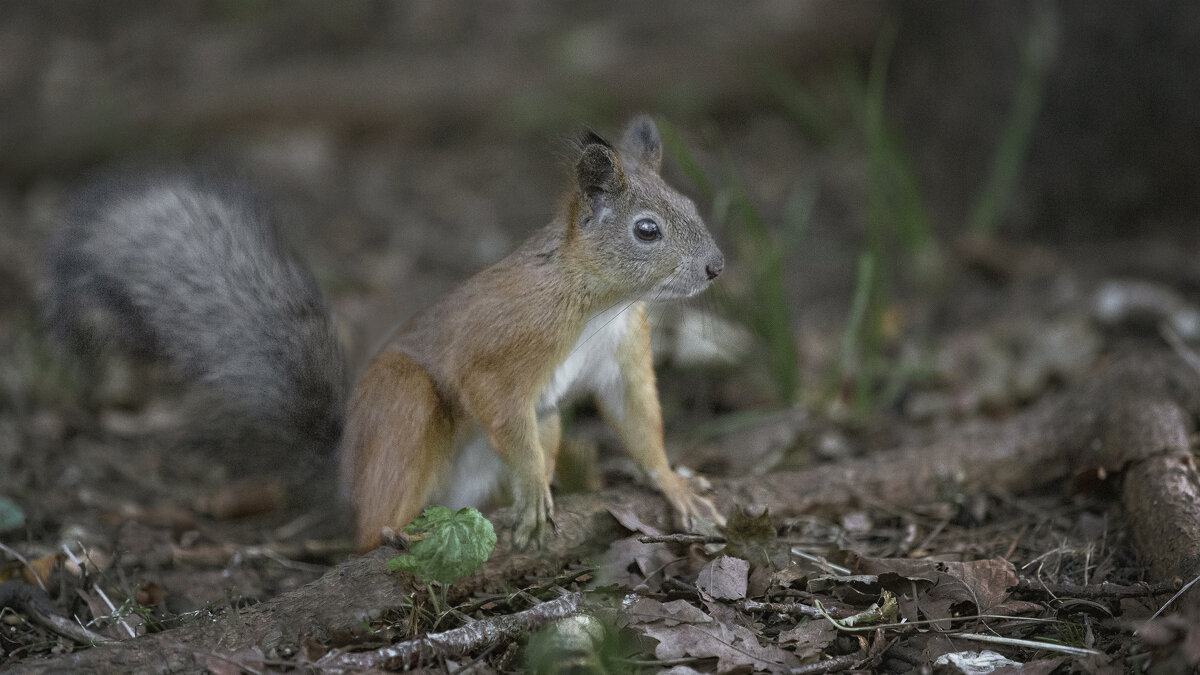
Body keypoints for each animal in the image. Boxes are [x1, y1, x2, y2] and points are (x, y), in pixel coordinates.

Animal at [44, 115, 720, 550]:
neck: (602, 302)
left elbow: (637, 417)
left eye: (691, 204)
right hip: (402, 404)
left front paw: (672, 483)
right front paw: (532, 492)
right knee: (369, 532)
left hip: (538, 428)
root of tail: (346, 473)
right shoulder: (502, 348)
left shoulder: (621, 355)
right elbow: (495, 398)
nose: (716, 267)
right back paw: (396, 531)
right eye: (647, 230)